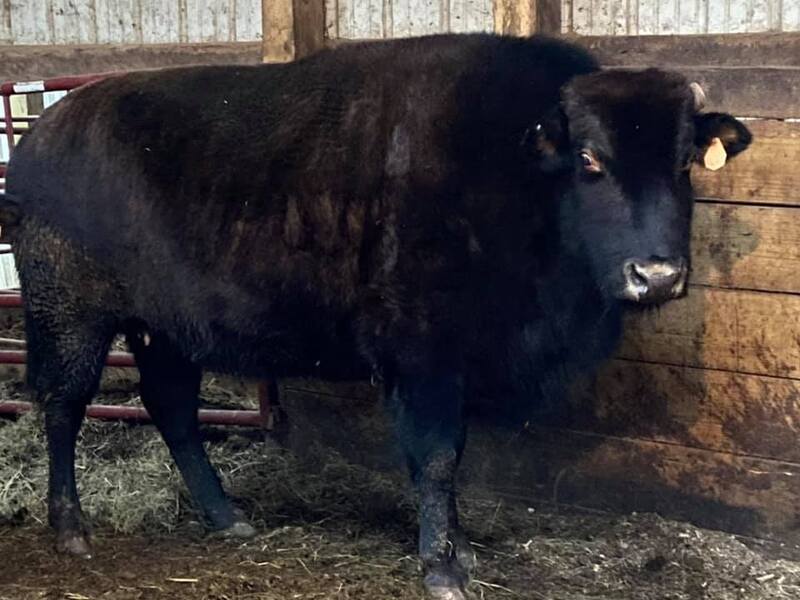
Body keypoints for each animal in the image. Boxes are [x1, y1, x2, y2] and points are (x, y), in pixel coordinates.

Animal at [2, 33, 750, 600]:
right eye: (590, 160)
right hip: (72, 318)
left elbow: (450, 457)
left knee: (172, 409)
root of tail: (41, 137)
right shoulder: (424, 361)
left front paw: (459, 550)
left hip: (163, 331)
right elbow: (438, 457)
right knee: (63, 405)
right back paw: (72, 530)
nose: (657, 274)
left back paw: (227, 517)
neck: (510, 162)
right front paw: (442, 568)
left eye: (686, 161)